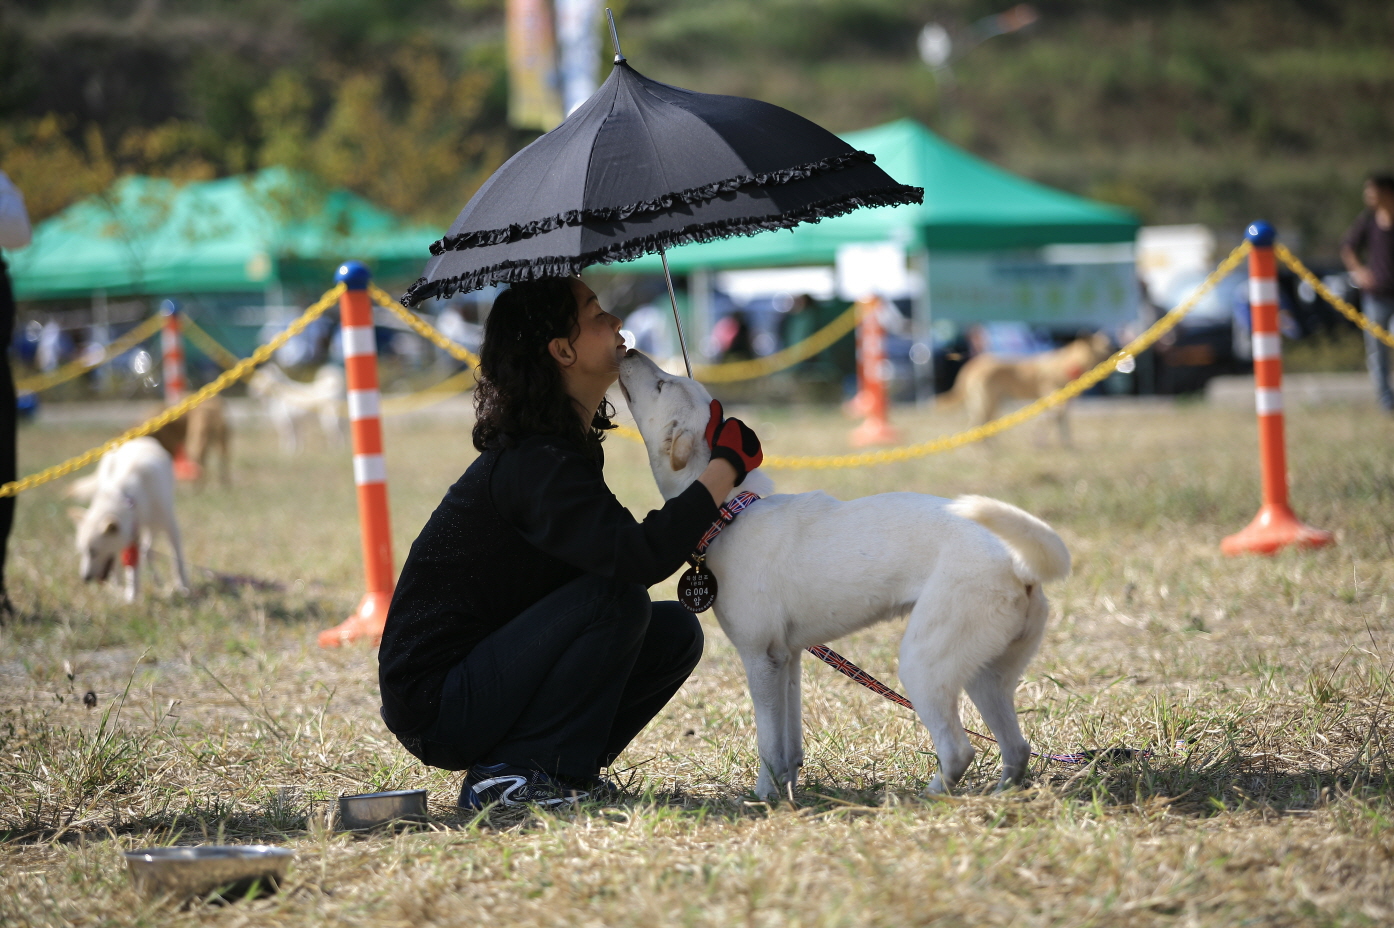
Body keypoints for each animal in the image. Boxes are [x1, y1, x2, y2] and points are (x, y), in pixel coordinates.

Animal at [72, 437, 190, 604]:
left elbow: (177, 561)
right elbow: (131, 570)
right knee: (135, 557)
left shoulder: (170, 526)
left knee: (147, 551)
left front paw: (183, 587)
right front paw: (131, 596)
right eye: (83, 552)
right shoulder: (131, 536)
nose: (85, 579)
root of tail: (137, 439)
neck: (129, 498)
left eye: (94, 552)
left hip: (154, 527)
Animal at [616, 351, 1070, 797]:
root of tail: (1017, 561)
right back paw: (1001, 794)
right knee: (1017, 749)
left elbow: (768, 743)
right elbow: (789, 743)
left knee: (959, 750)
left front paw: (764, 796)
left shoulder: (759, 657)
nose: (628, 349)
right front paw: (788, 790)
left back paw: (922, 798)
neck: (731, 511)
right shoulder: (787, 658)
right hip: (985, 676)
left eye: (662, 385)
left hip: (923, 664)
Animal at [942, 330, 1115, 445]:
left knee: (981, 426)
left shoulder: (1062, 404)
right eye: (1106, 346)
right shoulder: (1054, 401)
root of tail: (974, 364)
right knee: (978, 425)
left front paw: (1067, 447)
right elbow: (1048, 423)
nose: (1116, 349)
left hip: (988, 403)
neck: (1069, 362)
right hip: (988, 402)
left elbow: (1062, 427)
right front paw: (1040, 443)